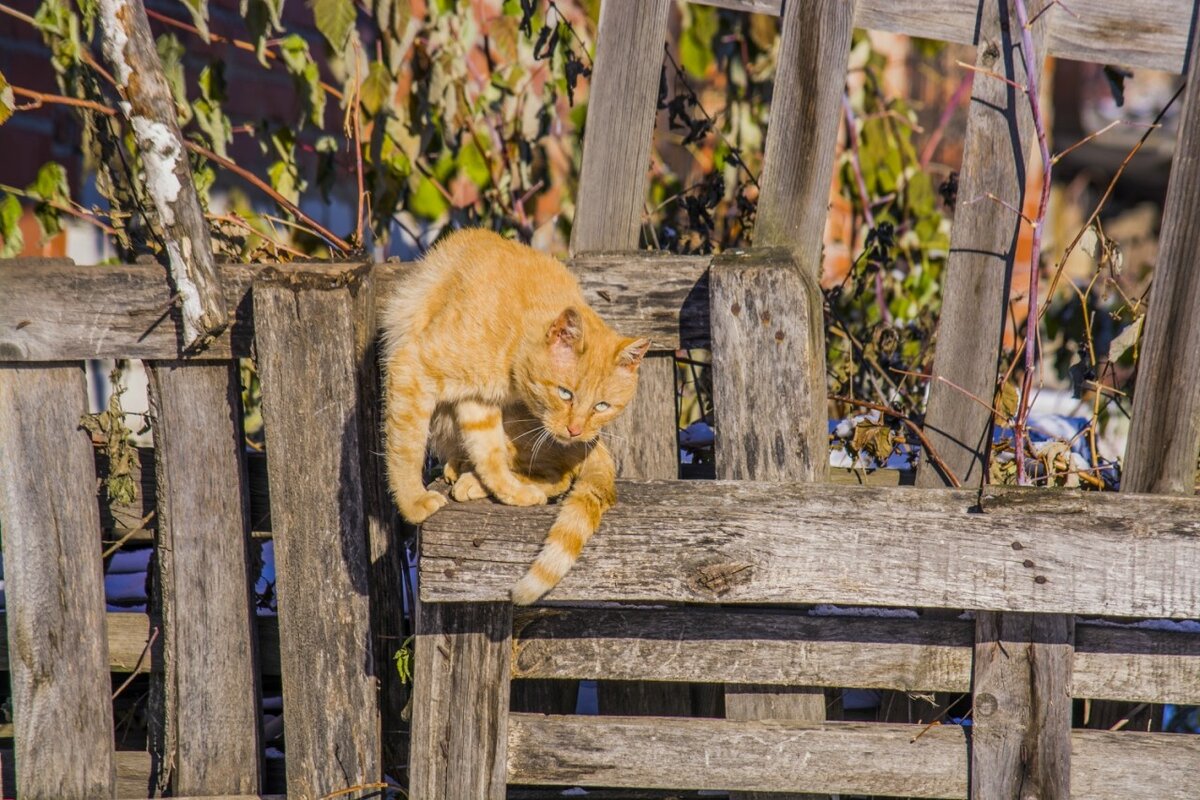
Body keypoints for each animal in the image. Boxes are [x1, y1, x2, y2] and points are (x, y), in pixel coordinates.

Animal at [381, 227, 648, 604]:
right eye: (565, 393)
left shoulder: (462, 390)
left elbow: (486, 454)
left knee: (559, 477)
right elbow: (414, 448)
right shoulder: (444, 382)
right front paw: (414, 500)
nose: (576, 430)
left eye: (601, 407)